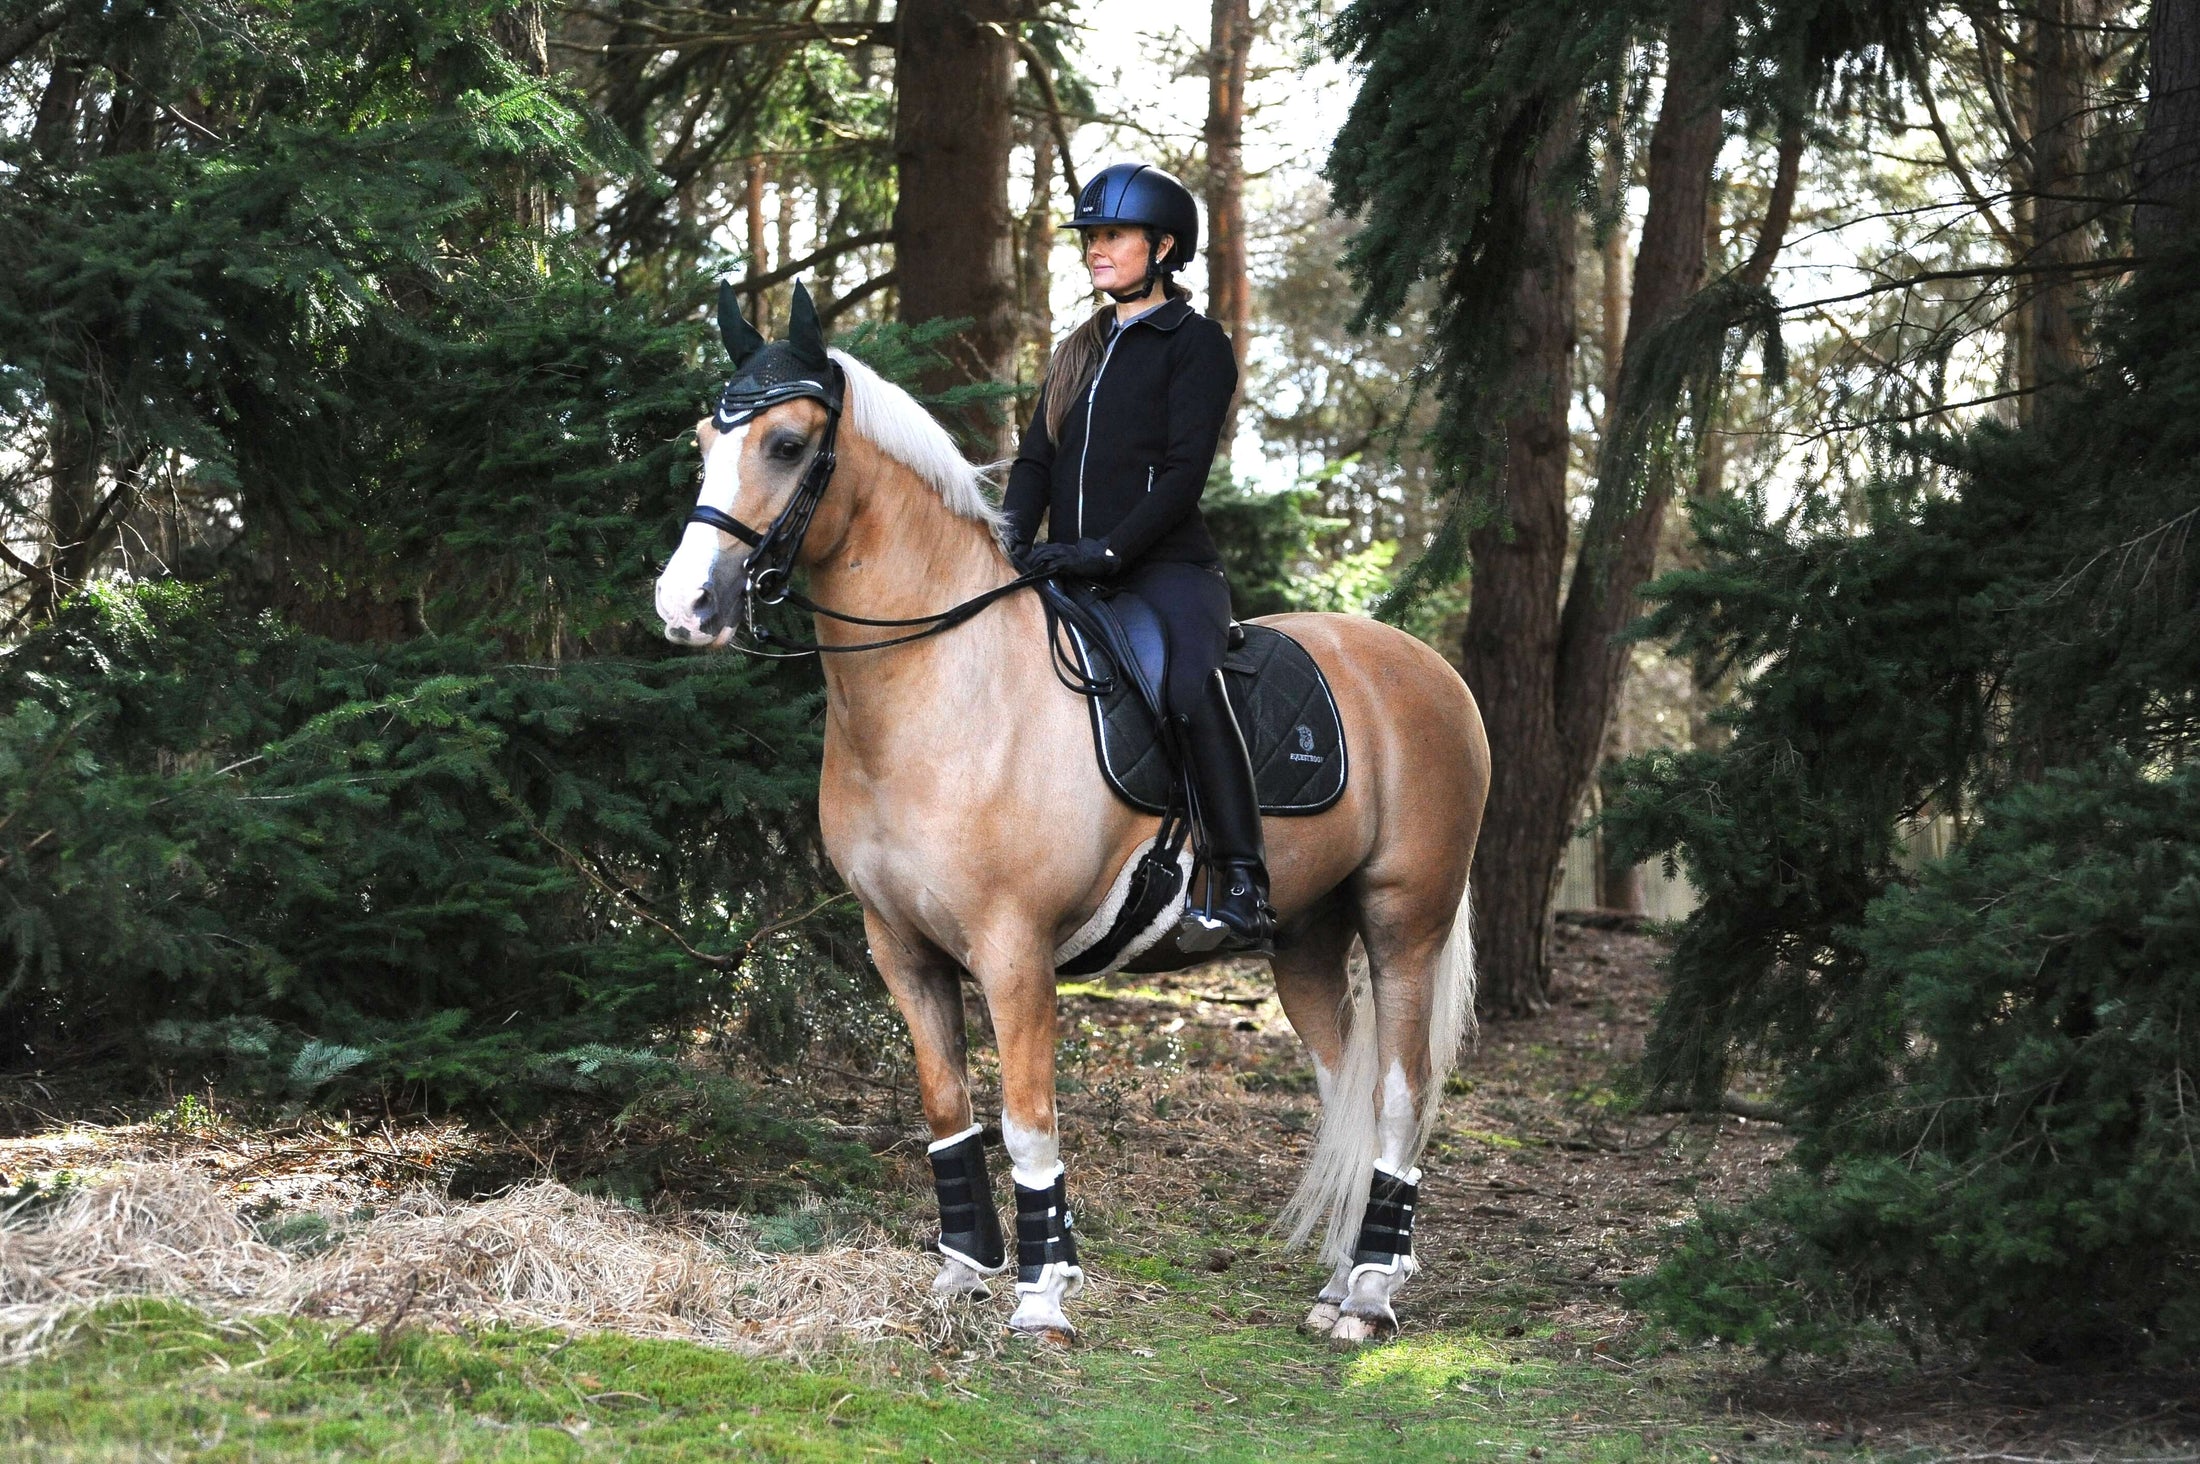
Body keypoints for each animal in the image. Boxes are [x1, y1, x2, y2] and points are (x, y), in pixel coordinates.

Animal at [655, 294, 1488, 1344]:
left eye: (789, 443)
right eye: (702, 440)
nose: (684, 605)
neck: (942, 685)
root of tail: (1428, 668)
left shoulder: (1014, 950)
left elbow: (1026, 1119)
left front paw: (1042, 1293)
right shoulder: (901, 949)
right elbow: (948, 1113)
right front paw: (963, 1274)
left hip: (1403, 921)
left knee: (1400, 1094)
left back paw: (1372, 1293)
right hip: (1304, 937)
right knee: (1347, 1086)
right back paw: (1341, 1278)